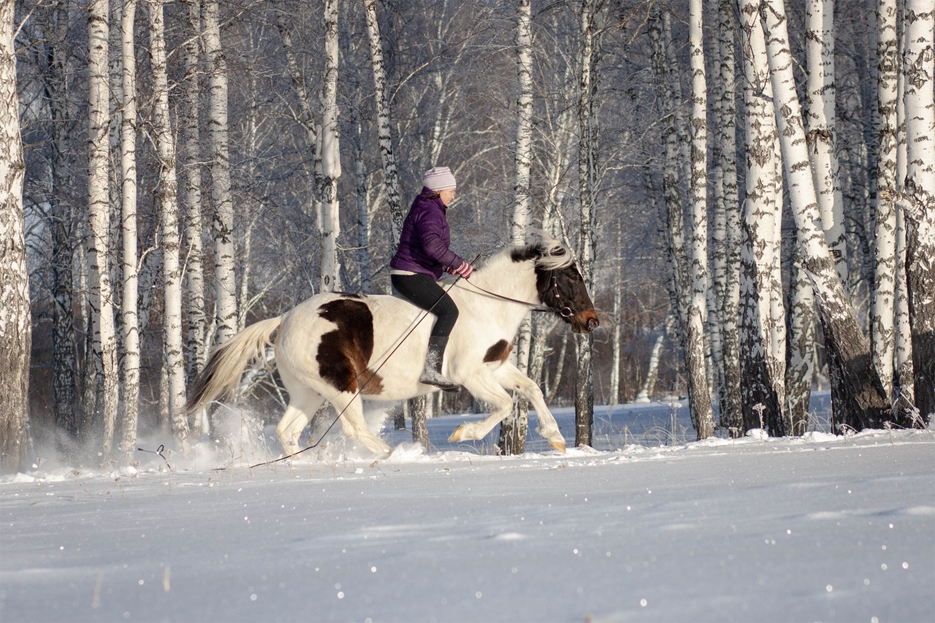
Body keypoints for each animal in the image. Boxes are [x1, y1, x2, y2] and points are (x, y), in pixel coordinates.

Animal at [185, 236, 600, 456]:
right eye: (570, 277)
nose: (591, 321)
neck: (488, 305)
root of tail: (285, 320)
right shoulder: (470, 375)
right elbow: (504, 405)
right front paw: (463, 433)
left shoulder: (494, 368)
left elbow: (531, 389)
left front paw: (556, 438)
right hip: (341, 387)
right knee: (352, 428)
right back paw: (393, 454)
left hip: (308, 392)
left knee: (288, 429)